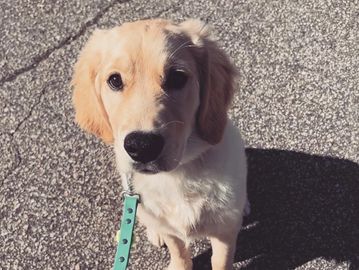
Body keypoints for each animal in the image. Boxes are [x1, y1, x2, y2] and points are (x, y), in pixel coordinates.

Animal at [72, 19, 249, 270]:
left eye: (177, 77)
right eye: (114, 80)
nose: (142, 146)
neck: (177, 176)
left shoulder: (224, 231)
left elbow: (221, 261)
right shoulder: (170, 229)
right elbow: (179, 252)